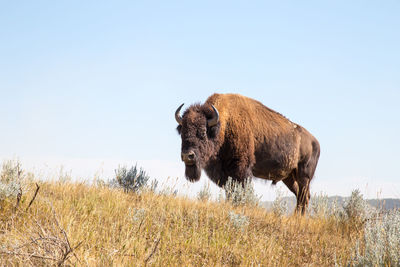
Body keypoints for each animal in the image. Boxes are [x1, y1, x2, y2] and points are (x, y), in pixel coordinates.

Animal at [174, 93, 318, 215]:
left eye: (203, 132)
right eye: (182, 132)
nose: (187, 156)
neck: (224, 124)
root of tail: (315, 142)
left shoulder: (241, 169)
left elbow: (241, 190)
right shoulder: (225, 174)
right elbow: (230, 192)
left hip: (304, 176)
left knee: (303, 196)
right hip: (289, 177)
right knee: (300, 194)